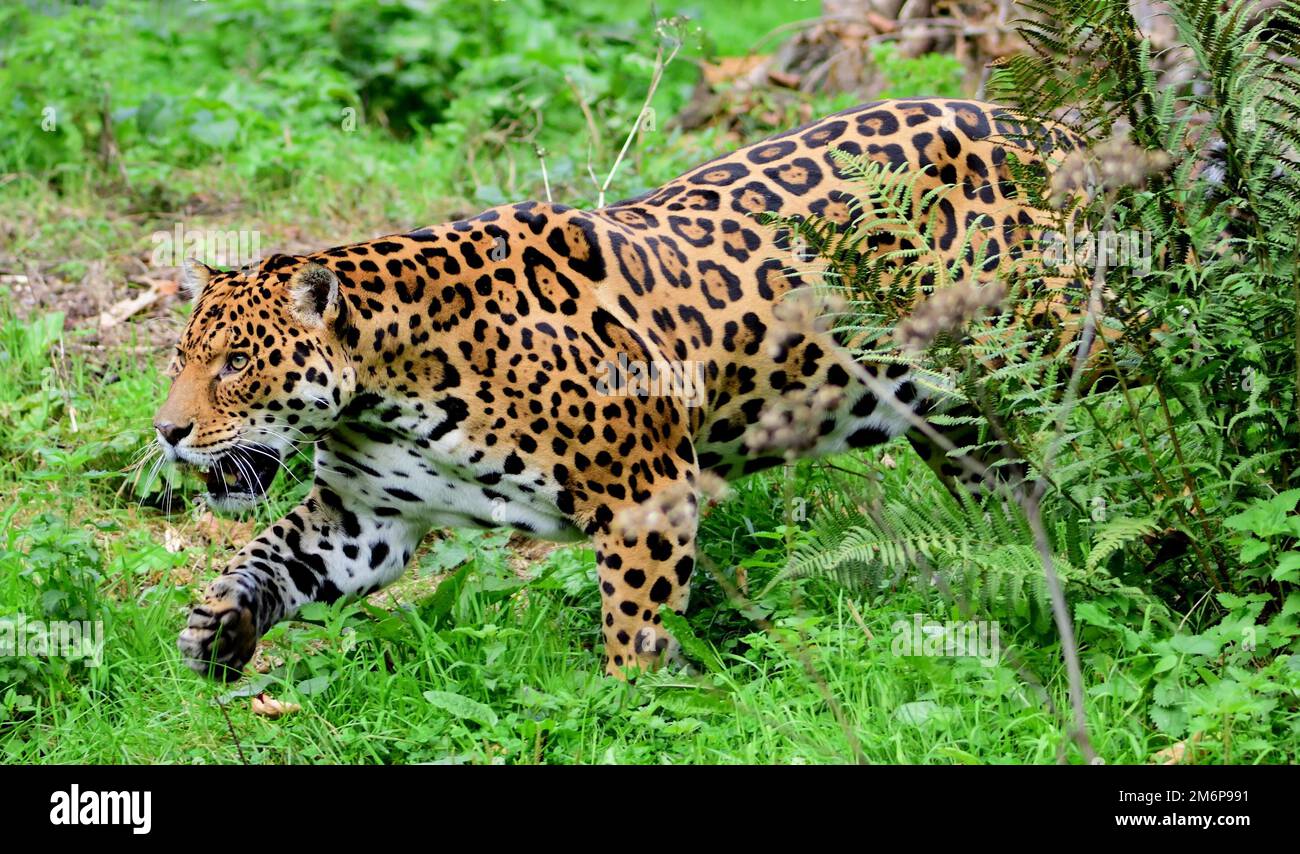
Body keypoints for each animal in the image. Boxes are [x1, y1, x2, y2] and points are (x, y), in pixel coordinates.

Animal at [156, 98, 1087, 681]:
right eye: (181, 357)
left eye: (235, 363)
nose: (166, 433)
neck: (388, 387)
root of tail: (1043, 124)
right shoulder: (363, 517)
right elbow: (266, 556)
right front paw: (216, 629)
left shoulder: (647, 493)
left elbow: (635, 625)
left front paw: (622, 708)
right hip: (960, 417)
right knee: (1007, 492)